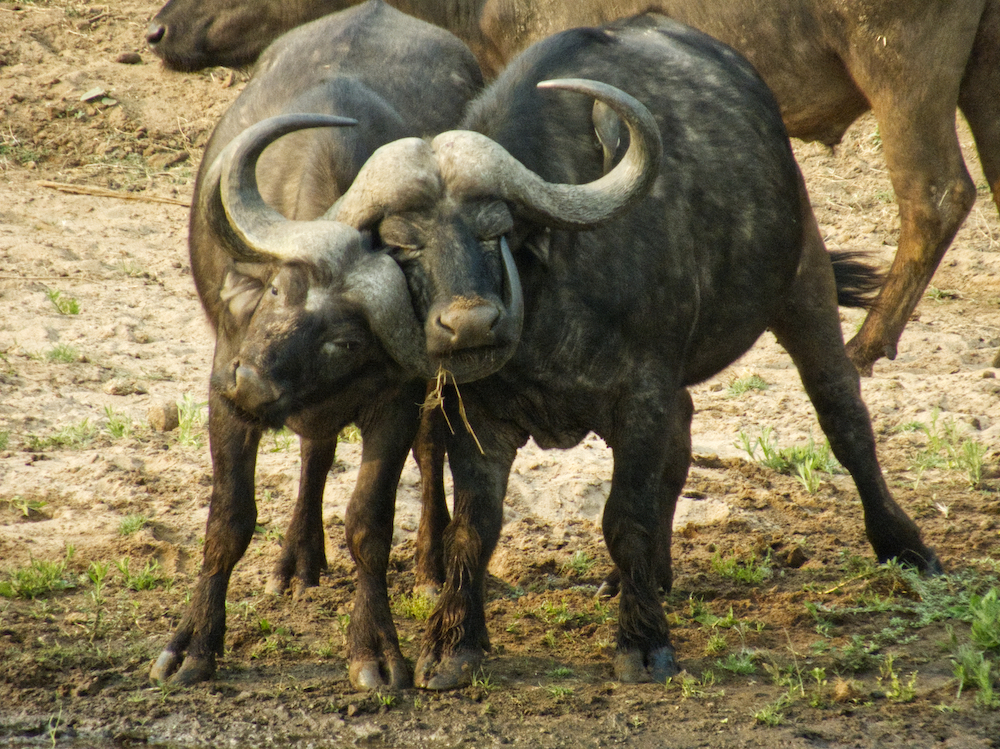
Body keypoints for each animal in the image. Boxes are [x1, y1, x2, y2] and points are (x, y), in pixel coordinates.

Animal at [316, 13, 940, 688]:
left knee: (843, 416)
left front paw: (643, 643)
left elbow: (626, 518)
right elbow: (474, 528)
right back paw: (647, 577)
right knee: (687, 434)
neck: (546, 309)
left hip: (805, 283)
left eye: (496, 229)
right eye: (403, 245)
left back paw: (905, 544)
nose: (471, 324)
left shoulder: (641, 397)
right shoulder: (476, 414)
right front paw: (453, 643)